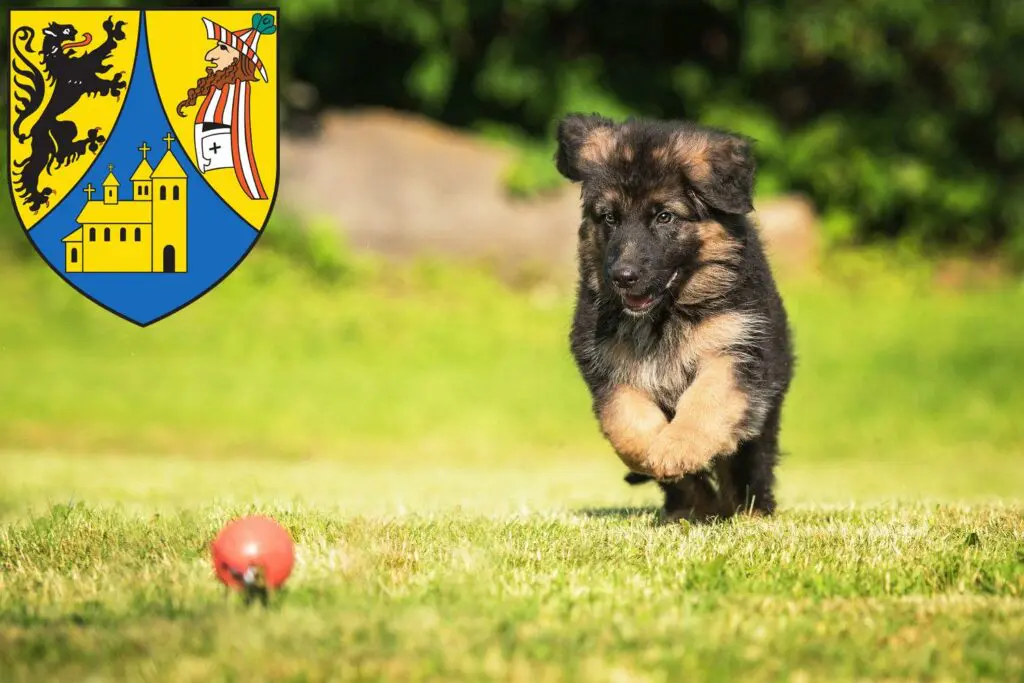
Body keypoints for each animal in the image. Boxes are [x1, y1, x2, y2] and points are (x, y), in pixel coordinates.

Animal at [557, 113, 794, 524]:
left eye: (664, 216)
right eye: (609, 218)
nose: (623, 277)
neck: (664, 316)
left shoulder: (735, 349)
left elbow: (706, 402)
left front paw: (677, 448)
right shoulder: (607, 366)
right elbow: (626, 422)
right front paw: (654, 455)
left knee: (749, 466)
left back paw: (749, 510)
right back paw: (690, 505)